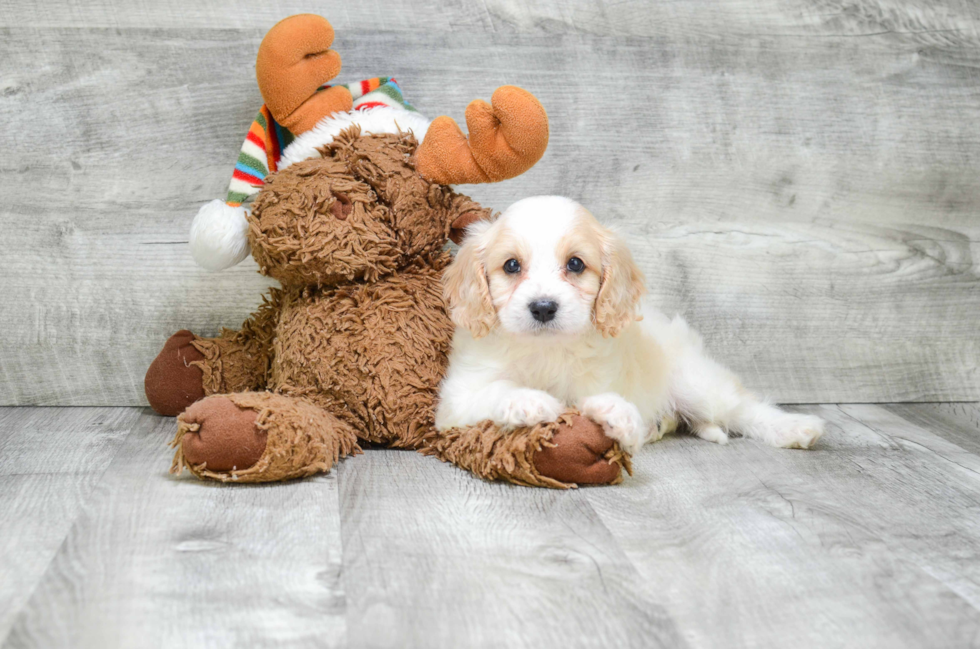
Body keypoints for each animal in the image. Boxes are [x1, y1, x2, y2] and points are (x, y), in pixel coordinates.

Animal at [432, 195, 824, 454]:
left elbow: (608, 408)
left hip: (696, 383)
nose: (543, 308)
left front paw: (618, 414)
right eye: (511, 266)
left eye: (575, 264)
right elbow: (496, 390)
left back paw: (793, 427)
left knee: (742, 408)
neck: (547, 348)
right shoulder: (456, 400)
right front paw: (528, 401)